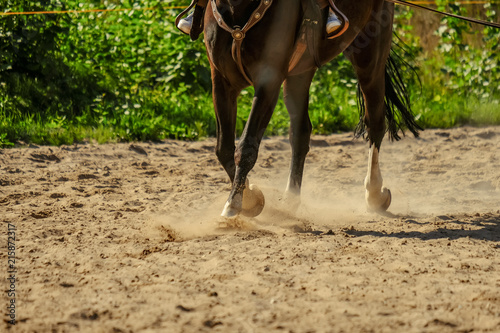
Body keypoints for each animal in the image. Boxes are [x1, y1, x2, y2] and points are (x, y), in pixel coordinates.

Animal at [201, 0, 420, 217]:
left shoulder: (269, 80)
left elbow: (246, 145)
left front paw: (235, 203)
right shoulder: (221, 81)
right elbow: (224, 149)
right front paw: (250, 197)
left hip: (370, 57)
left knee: (375, 123)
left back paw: (374, 194)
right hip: (300, 72)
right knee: (301, 132)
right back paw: (290, 199)